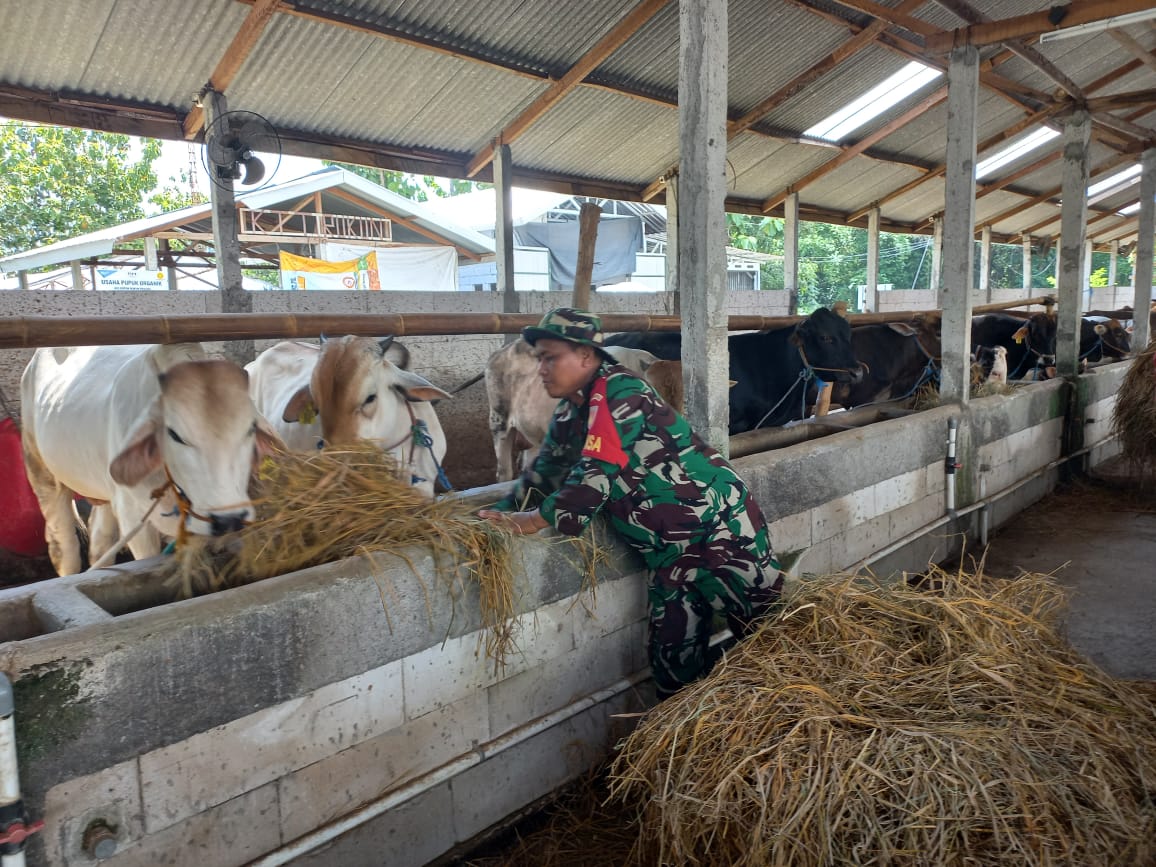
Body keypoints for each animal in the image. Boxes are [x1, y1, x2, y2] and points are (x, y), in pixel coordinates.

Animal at [21, 344, 283, 578]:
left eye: (250, 429)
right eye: (175, 434)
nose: (228, 519)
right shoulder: (133, 519)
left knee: (100, 541)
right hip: (41, 472)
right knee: (64, 547)